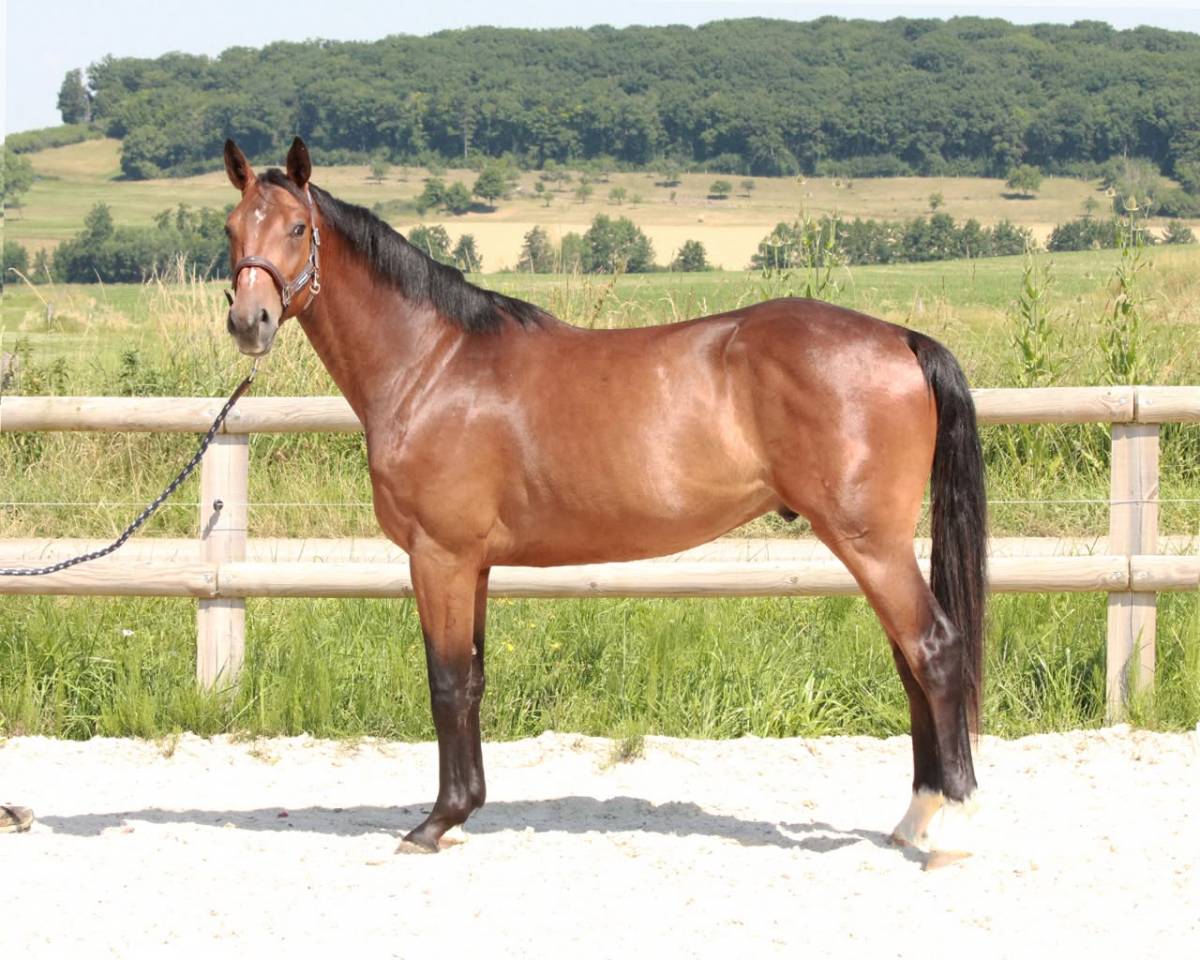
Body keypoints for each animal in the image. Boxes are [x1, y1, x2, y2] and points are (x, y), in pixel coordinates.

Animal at [221, 137, 987, 861]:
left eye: (296, 227)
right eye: (231, 228)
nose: (249, 321)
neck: (432, 365)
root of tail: (900, 338)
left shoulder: (439, 557)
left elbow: (446, 683)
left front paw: (435, 822)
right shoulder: (475, 565)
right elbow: (473, 681)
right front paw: (464, 810)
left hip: (870, 543)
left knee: (934, 650)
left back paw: (951, 827)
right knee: (910, 659)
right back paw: (914, 819)